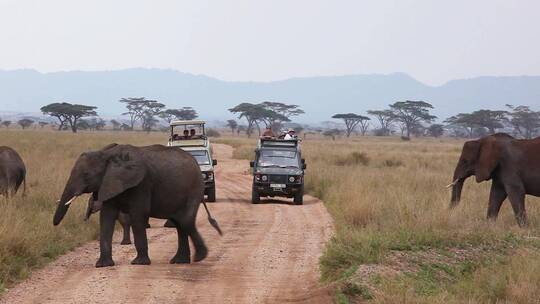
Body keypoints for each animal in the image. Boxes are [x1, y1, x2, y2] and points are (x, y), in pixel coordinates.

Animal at [52, 144, 221, 268]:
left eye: (86, 175)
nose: (54, 225)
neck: (107, 154)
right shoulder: (108, 183)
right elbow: (106, 218)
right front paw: (102, 265)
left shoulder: (141, 184)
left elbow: (138, 215)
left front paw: (139, 263)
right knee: (181, 223)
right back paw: (180, 261)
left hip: (193, 189)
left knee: (185, 221)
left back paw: (199, 257)